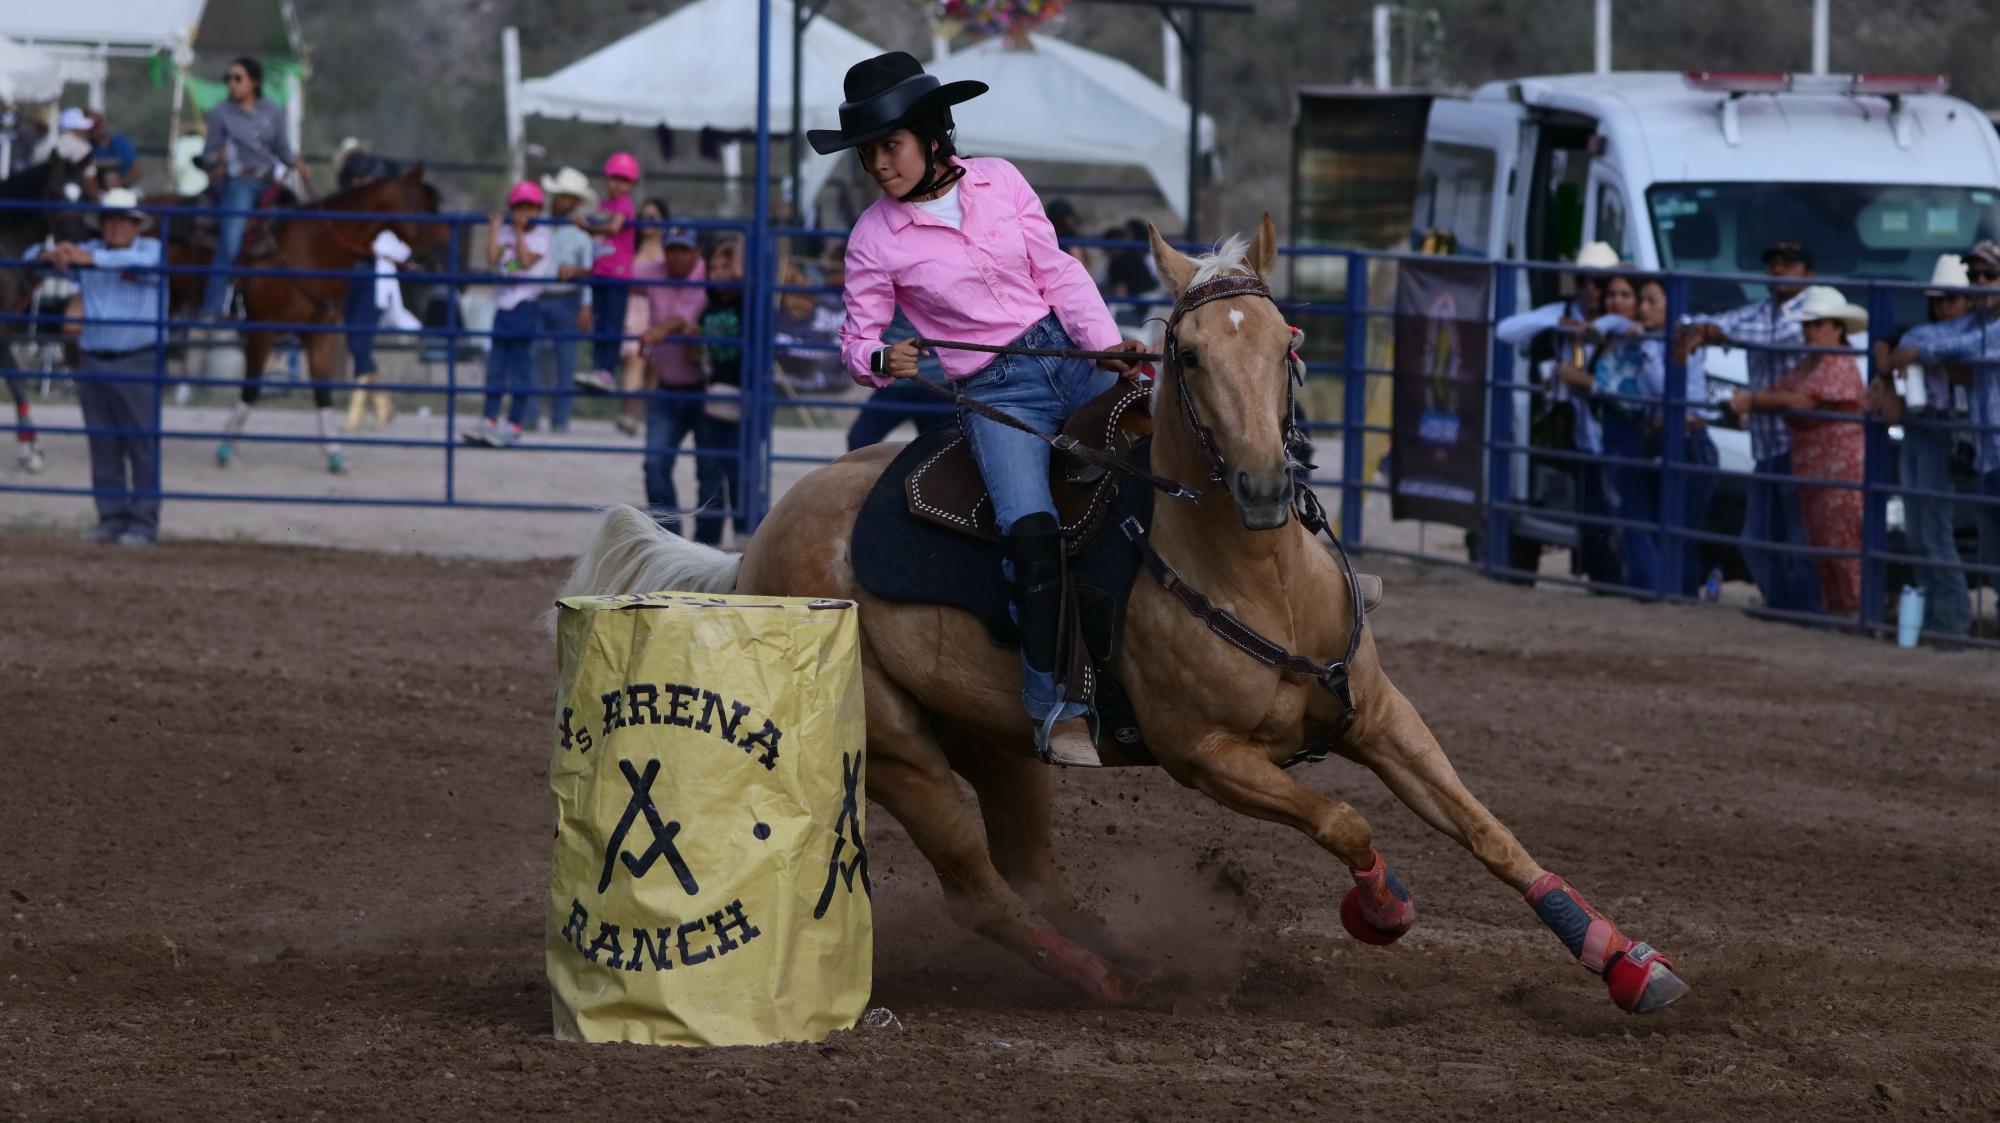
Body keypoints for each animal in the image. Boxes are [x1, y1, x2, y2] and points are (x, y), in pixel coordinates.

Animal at [560, 216, 1688, 1015]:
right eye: (1186, 354)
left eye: (1285, 341)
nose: (1265, 483)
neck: (1254, 572)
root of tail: (756, 545)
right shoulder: (1210, 758)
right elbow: (1345, 818)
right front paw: (1380, 908)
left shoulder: (1377, 715)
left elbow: (1484, 829)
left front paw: (1623, 960)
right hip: (898, 751)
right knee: (980, 885)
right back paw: (1105, 980)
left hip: (1000, 741)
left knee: (1037, 873)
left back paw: (1130, 956)